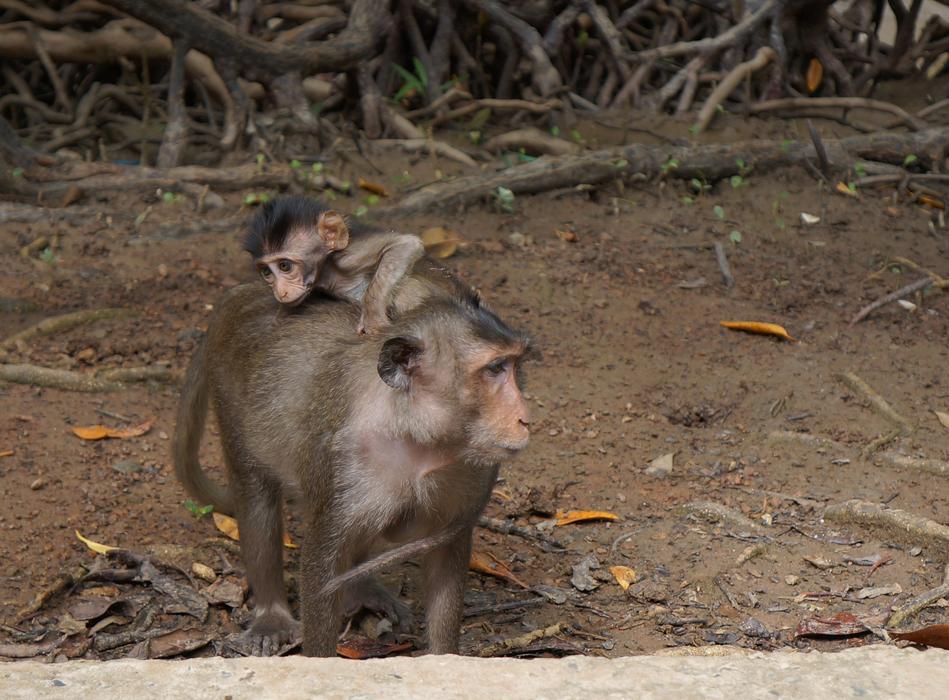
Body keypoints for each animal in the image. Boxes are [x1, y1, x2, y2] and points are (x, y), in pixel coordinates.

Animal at [173, 284, 531, 656]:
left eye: (513, 365)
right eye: (495, 368)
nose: (524, 417)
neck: (412, 431)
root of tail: (242, 294)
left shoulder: (467, 472)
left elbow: (446, 552)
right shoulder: (343, 466)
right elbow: (321, 566)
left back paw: (361, 591)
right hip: (231, 399)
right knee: (257, 495)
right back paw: (272, 614)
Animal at [244, 196, 431, 335]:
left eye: (284, 266)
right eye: (266, 272)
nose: (280, 292)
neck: (326, 271)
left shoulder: (349, 257)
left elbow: (405, 244)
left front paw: (373, 321)